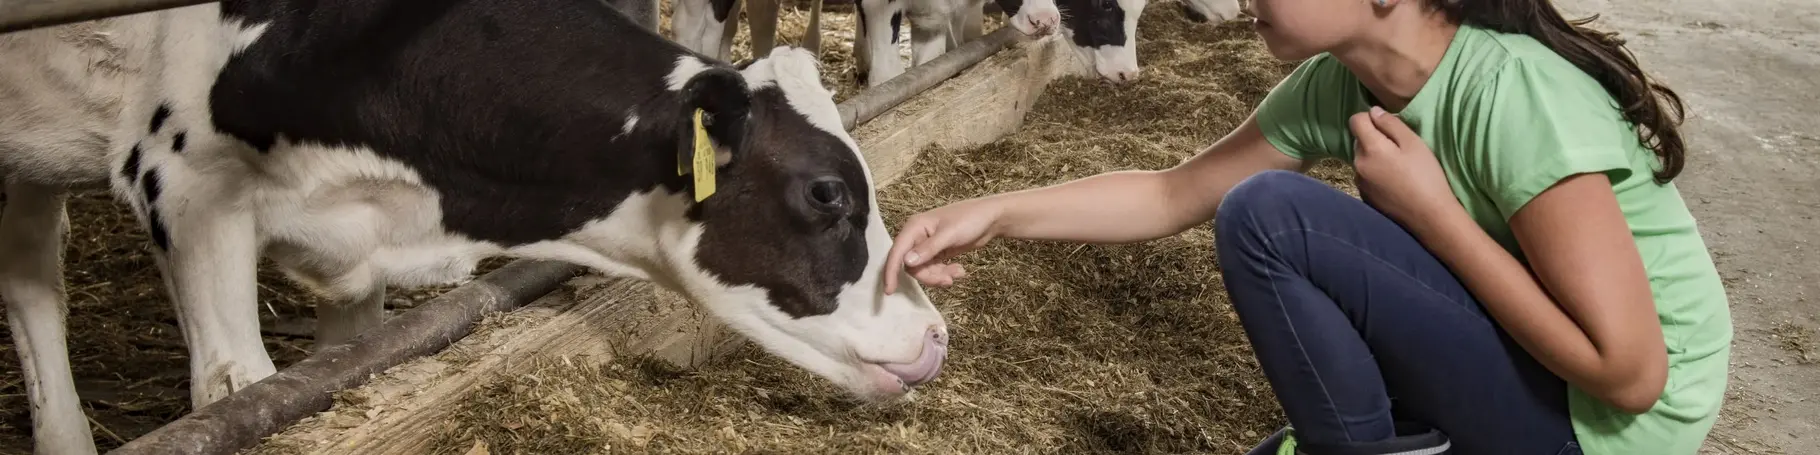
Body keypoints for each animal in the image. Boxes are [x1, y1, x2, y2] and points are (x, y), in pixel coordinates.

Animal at [3, 1, 953, 453]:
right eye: (827, 193)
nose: (938, 334)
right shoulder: (184, 191)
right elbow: (236, 389)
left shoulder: (356, 261)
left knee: (29, 272)